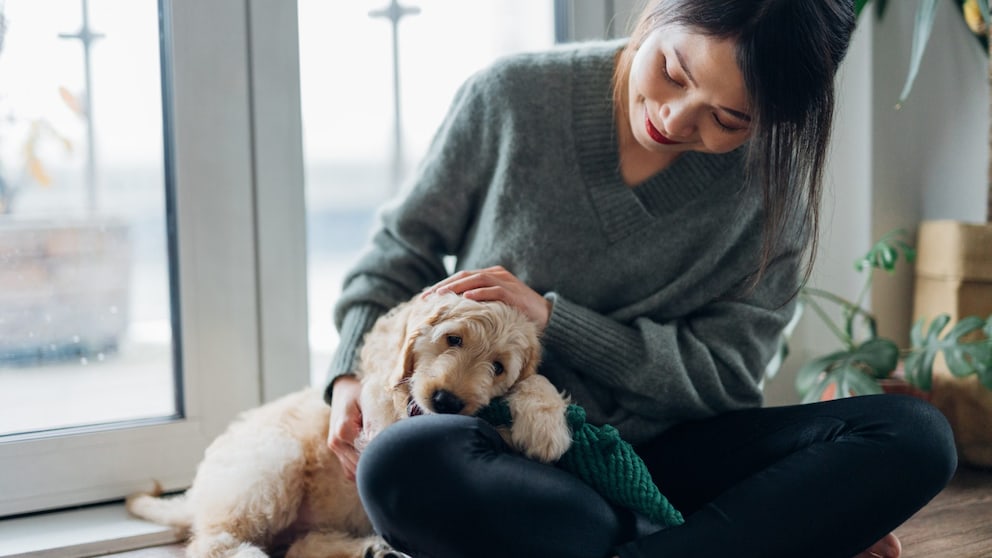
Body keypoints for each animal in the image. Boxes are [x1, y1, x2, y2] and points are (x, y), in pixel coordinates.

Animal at [125, 294, 572, 558]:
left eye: (498, 367)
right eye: (453, 339)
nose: (446, 401)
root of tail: (199, 494)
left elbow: (533, 379)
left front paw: (546, 423)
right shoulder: (381, 415)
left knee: (297, 547)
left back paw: (370, 550)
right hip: (272, 464)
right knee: (213, 541)